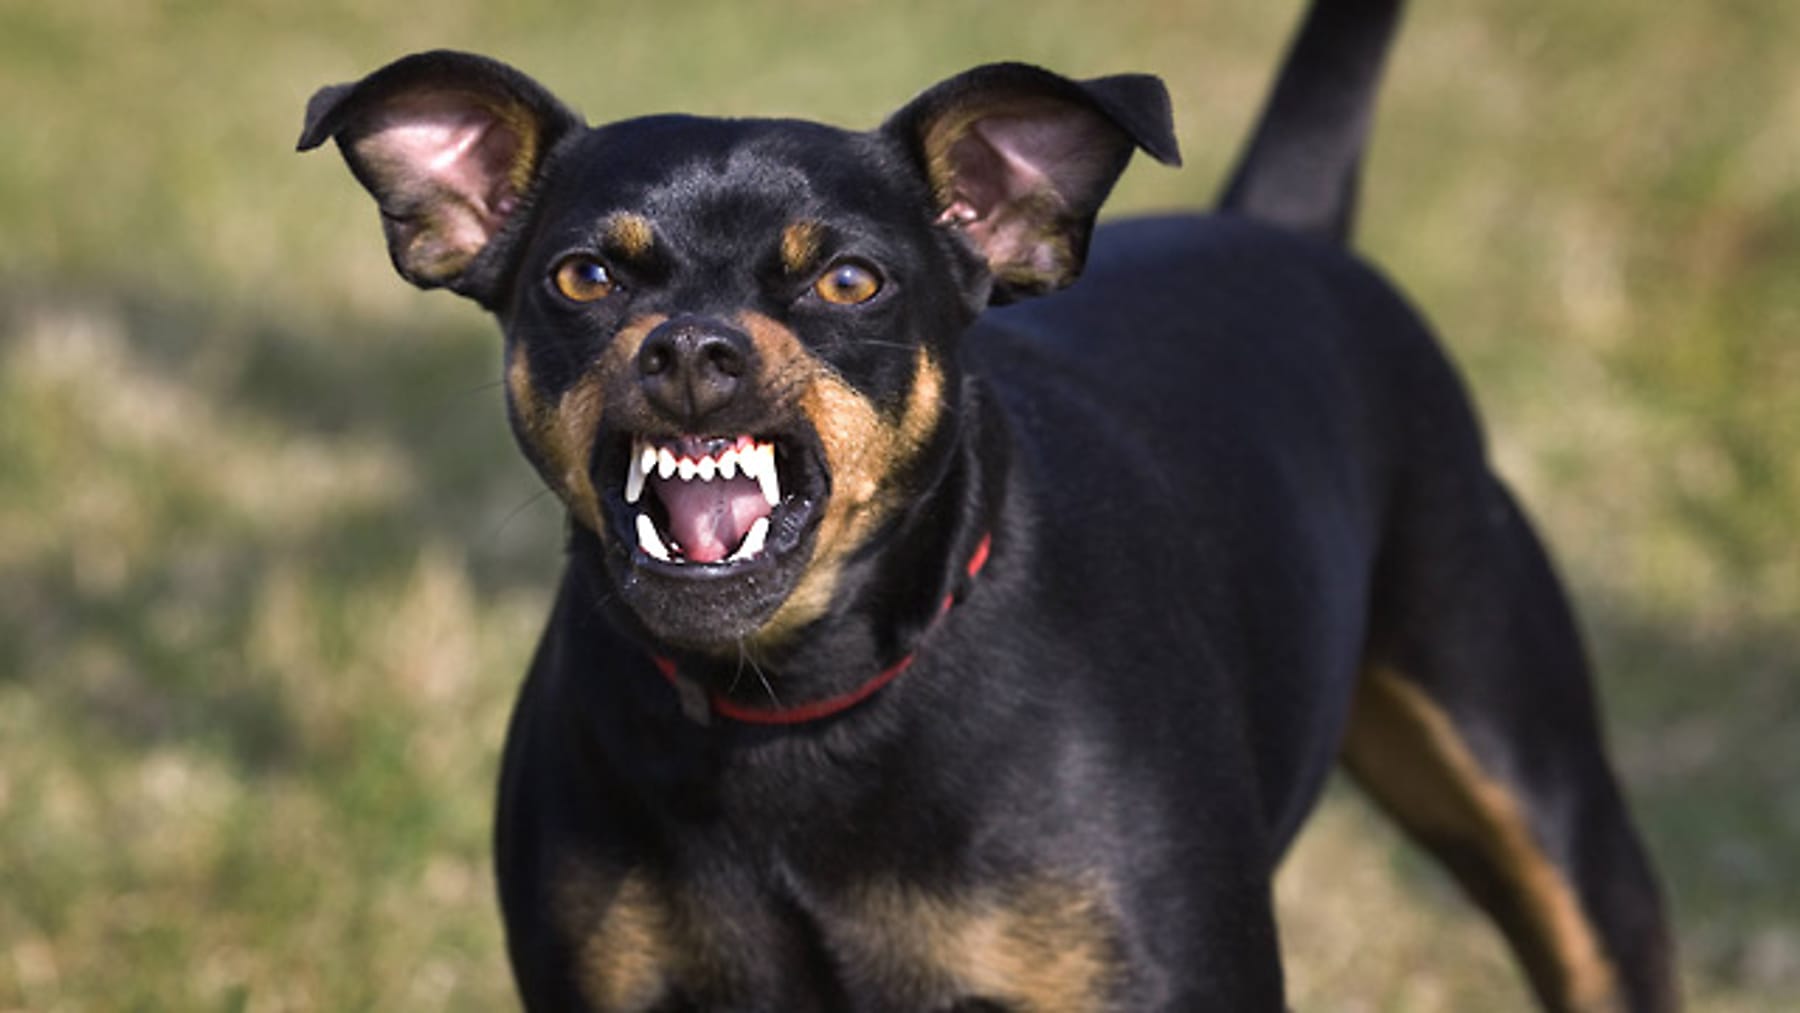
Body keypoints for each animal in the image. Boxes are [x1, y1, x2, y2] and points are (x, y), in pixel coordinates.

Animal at [306, 0, 1670, 1007]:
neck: (795, 705)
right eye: (583, 276)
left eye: (850, 279)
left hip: (1552, 812)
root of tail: (1285, 230)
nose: (692, 349)